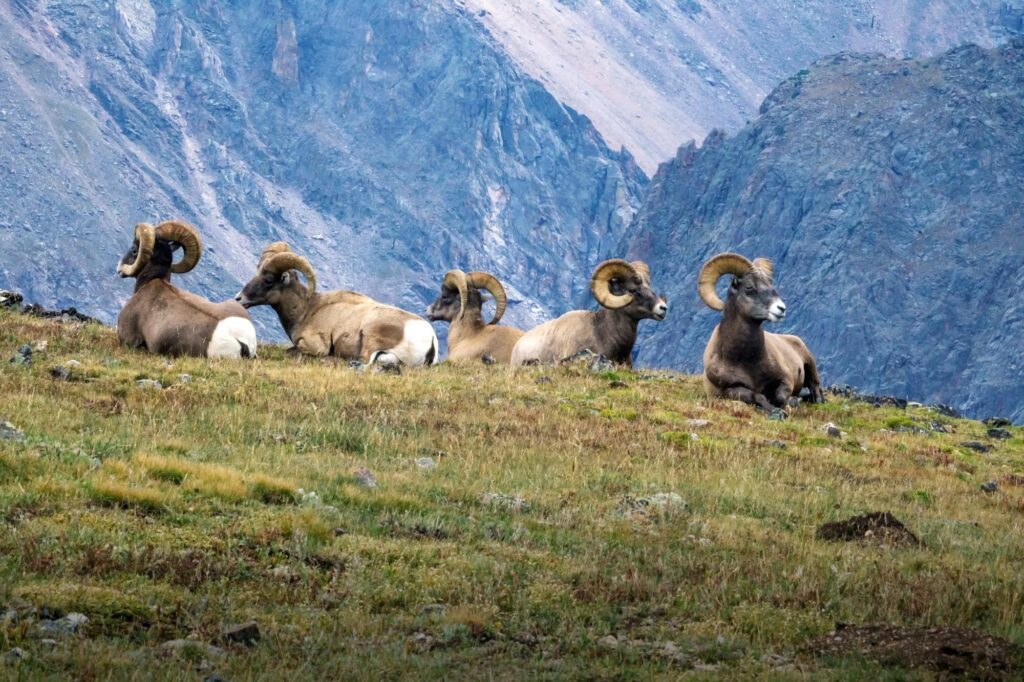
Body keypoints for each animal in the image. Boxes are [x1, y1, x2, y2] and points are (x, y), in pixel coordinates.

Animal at [234, 244, 436, 366]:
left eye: (268, 279)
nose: (239, 299)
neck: (306, 311)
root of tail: (431, 341)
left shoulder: (314, 345)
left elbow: (291, 351)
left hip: (370, 334)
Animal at [696, 250, 823, 405]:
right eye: (749, 287)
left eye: (771, 285)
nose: (781, 308)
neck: (746, 361)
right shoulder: (732, 389)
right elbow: (757, 396)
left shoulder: (785, 379)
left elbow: (779, 397)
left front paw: (791, 401)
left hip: (810, 364)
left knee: (815, 388)